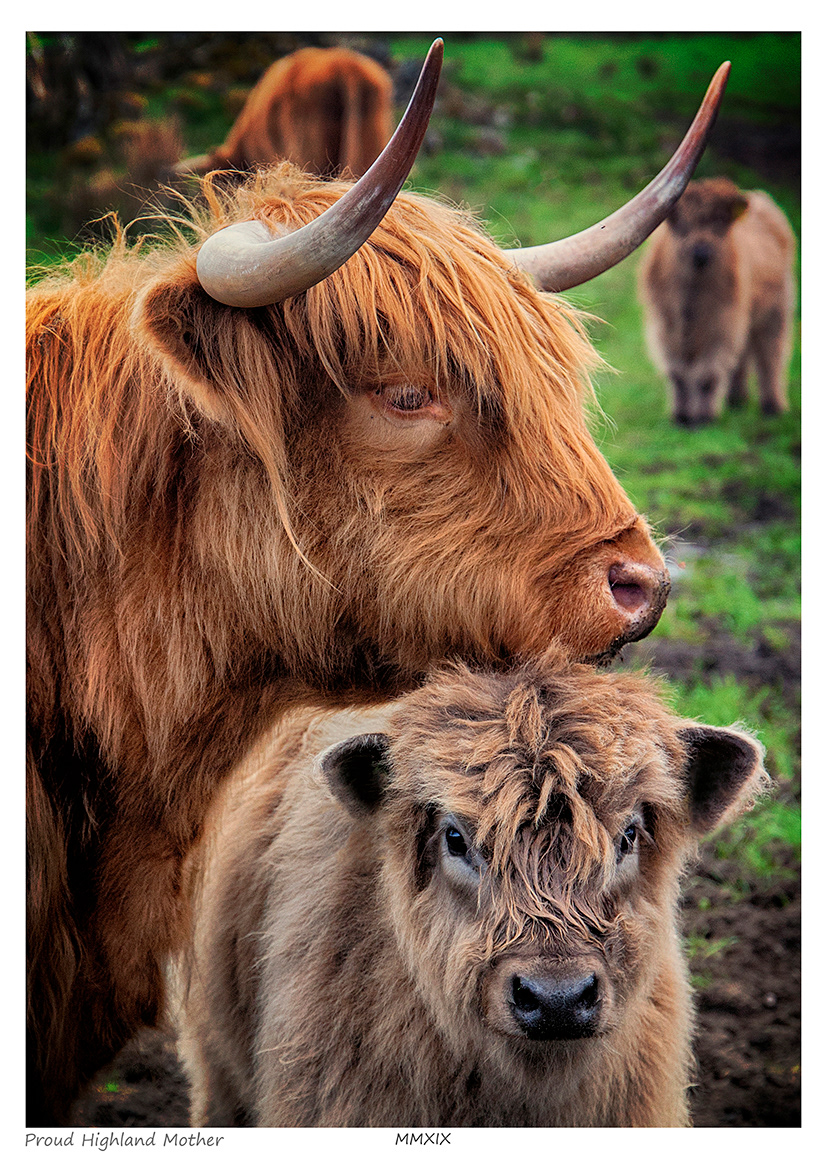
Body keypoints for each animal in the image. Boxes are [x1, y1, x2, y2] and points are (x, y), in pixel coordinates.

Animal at [638, 177, 796, 426]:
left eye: (720, 222)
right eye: (682, 224)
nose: (701, 252)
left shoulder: (722, 322)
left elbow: (708, 374)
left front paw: (704, 417)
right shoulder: (664, 324)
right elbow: (677, 372)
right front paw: (681, 416)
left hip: (775, 311)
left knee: (770, 355)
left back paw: (771, 406)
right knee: (744, 354)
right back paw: (737, 399)